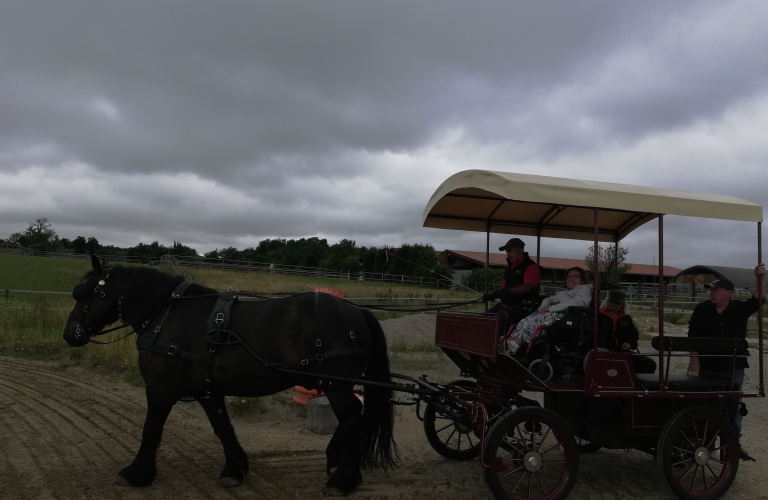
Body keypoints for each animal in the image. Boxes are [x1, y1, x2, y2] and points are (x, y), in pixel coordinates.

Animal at [63, 256, 396, 494]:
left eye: (85, 294)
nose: (69, 334)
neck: (165, 316)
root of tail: (356, 311)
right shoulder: (207, 390)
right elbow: (222, 428)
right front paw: (235, 470)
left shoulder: (159, 389)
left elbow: (151, 430)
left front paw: (136, 473)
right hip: (332, 384)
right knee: (353, 417)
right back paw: (337, 465)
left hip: (336, 385)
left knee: (352, 418)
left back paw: (343, 480)